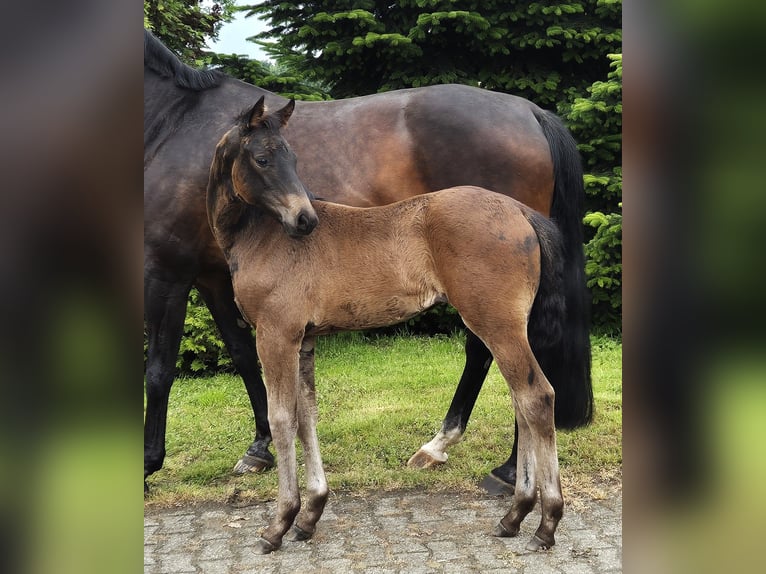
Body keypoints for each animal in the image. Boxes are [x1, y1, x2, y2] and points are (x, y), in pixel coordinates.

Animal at [144, 29, 592, 492]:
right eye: (263, 159)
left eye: (289, 158)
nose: (305, 218)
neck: (174, 122)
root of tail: (531, 111)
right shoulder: (212, 277)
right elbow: (242, 357)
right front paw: (258, 449)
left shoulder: (167, 271)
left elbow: (159, 369)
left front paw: (148, 463)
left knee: (514, 371)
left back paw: (505, 470)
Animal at [207, 97, 568, 556]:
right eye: (263, 158)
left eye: (292, 157)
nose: (305, 220)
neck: (263, 234)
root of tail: (519, 211)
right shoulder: (304, 341)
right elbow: (308, 417)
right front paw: (310, 515)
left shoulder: (276, 334)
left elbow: (282, 418)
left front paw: (280, 523)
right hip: (505, 327)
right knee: (520, 401)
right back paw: (514, 516)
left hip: (497, 323)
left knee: (535, 397)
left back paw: (546, 522)